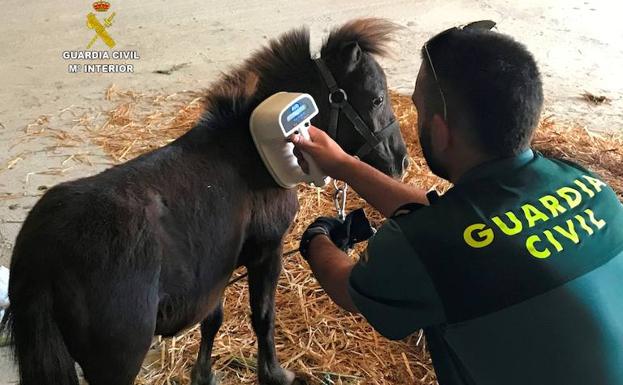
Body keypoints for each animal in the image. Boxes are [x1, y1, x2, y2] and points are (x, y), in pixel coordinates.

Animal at [1, 18, 410, 384]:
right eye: (376, 98)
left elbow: (212, 320)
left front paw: (204, 374)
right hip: (117, 363)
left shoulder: (217, 268)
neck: (252, 152)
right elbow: (263, 316)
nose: (401, 161)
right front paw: (275, 374)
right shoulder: (268, 251)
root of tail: (43, 251)